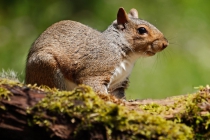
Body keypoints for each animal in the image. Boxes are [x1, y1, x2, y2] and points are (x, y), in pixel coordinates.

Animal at [25, 7, 169, 98]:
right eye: (142, 30)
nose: (165, 44)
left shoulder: (118, 83)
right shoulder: (97, 70)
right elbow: (94, 86)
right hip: (47, 65)